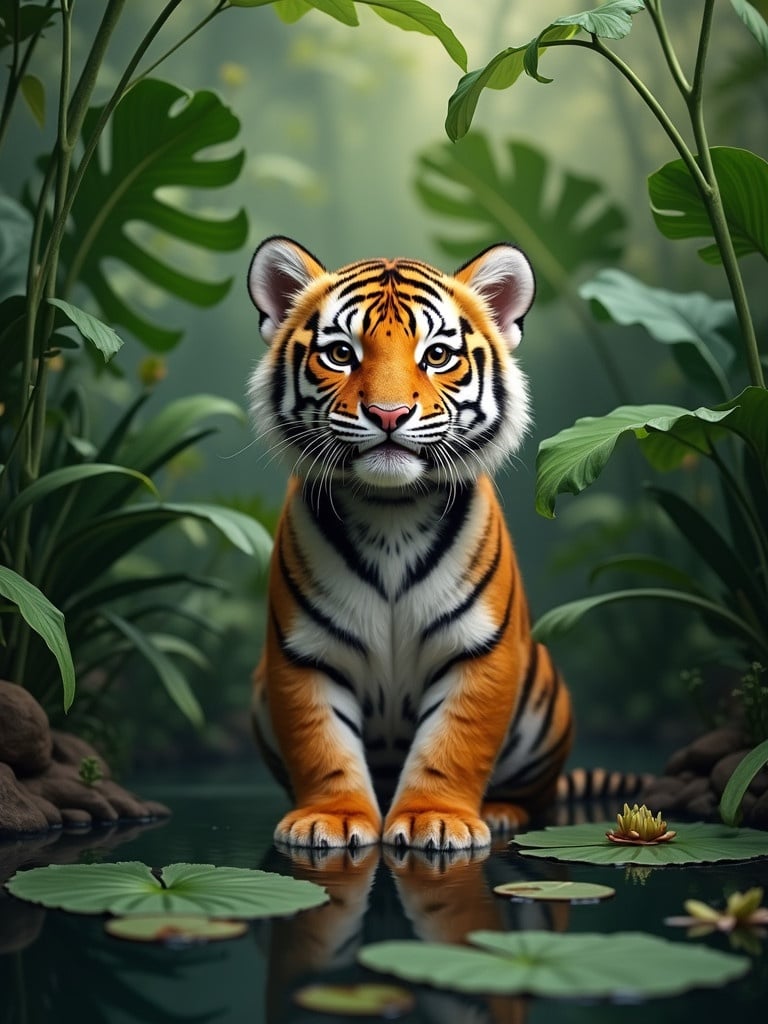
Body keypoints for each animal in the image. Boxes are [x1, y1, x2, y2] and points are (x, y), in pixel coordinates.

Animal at [249, 235, 573, 851]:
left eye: (438, 355)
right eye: (341, 354)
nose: (388, 413)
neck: (390, 511)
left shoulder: (480, 649)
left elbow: (455, 742)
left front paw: (436, 817)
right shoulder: (303, 652)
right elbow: (320, 742)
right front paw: (331, 818)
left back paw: (501, 811)